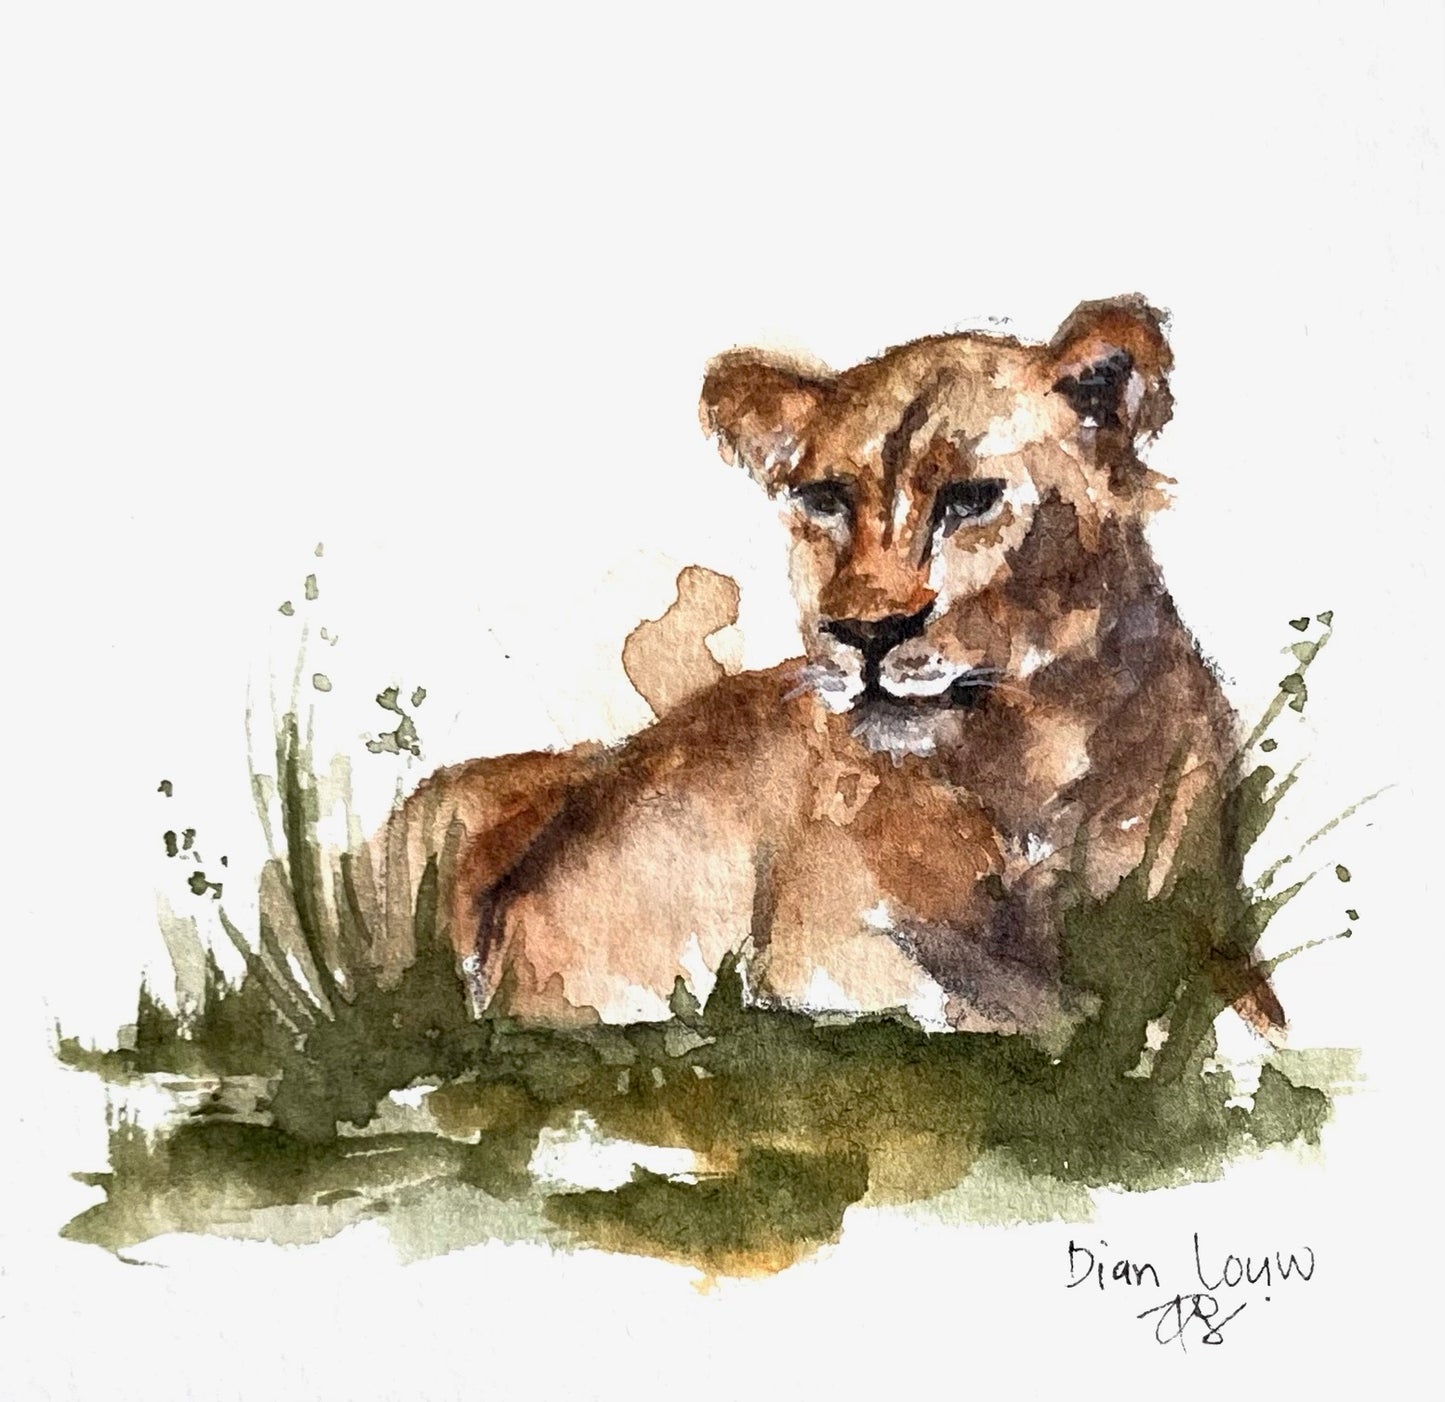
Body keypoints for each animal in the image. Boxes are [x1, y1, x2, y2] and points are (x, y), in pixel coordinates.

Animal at [376, 294, 1282, 1046]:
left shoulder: (1193, 914)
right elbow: (1023, 1004)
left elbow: (1217, 990)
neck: (1030, 748)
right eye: (825, 501)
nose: (863, 635)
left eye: (968, 499)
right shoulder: (815, 947)